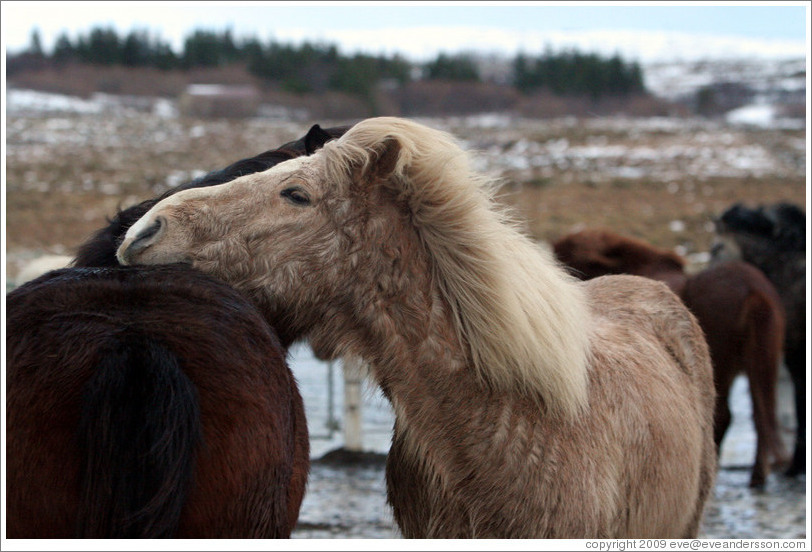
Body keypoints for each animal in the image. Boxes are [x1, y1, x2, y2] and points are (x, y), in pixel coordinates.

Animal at [552, 229, 788, 488]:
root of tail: (754, 290)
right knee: (762, 417)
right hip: (764, 364)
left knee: (727, 416)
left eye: (568, 260)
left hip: (725, 368)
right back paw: (758, 477)